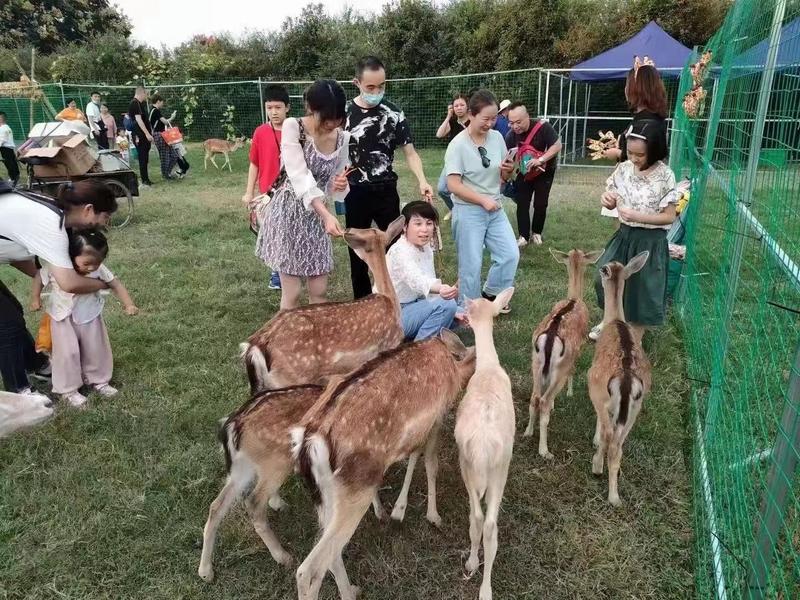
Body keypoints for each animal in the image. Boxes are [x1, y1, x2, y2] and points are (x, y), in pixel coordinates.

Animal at [242, 216, 406, 394]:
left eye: (366, 229)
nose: (347, 228)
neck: (389, 299)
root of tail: (255, 345)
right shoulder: (387, 346)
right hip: (293, 376)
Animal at [290, 330, 476, 596]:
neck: (453, 367)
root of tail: (311, 442)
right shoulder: (437, 417)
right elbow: (431, 464)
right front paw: (433, 516)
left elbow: (414, 455)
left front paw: (394, 511)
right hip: (354, 489)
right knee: (309, 570)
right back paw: (347, 593)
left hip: (325, 495)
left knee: (331, 553)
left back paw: (352, 588)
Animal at [520, 248, 604, 460]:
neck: (574, 298)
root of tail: (549, 337)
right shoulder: (578, 349)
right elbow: (574, 369)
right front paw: (570, 393)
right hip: (560, 368)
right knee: (543, 400)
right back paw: (545, 451)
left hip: (535, 362)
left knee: (534, 397)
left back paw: (527, 432)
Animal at [584, 250, 652, 506]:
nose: (601, 267)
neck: (615, 320)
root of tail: (626, 381)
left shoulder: (598, 395)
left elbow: (601, 427)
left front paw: (595, 444)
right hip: (636, 408)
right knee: (619, 443)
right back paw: (615, 492)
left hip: (598, 389)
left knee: (610, 435)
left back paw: (599, 472)